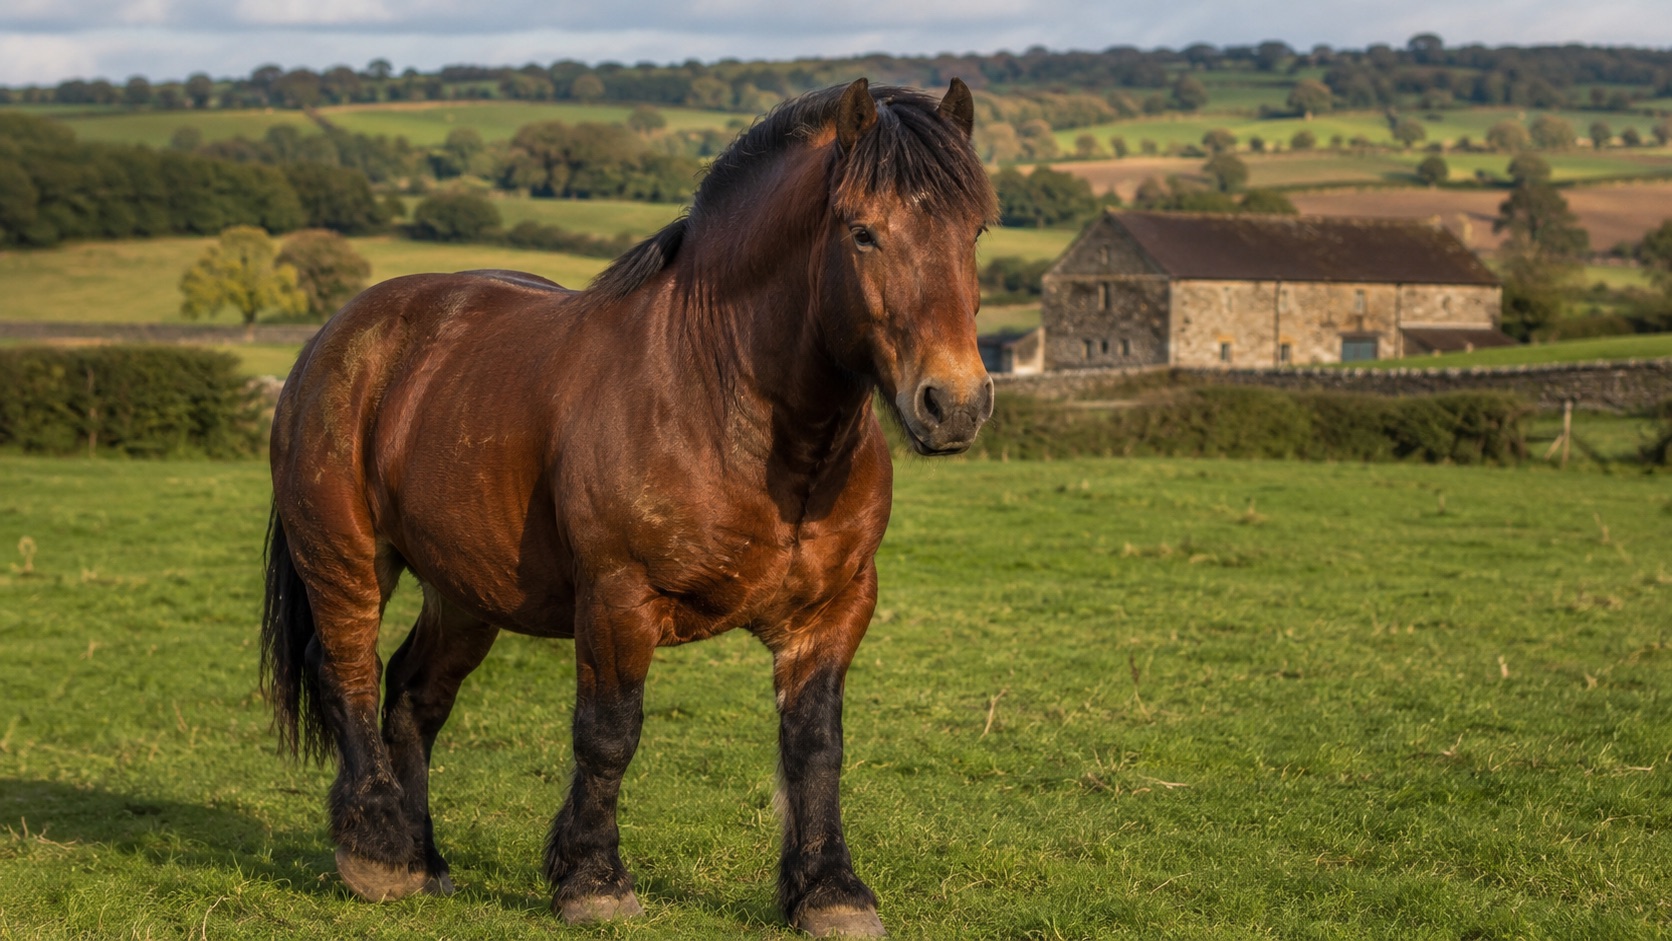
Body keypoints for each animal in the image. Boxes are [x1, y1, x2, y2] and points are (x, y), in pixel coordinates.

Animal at [261, 78, 996, 937]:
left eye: (975, 231)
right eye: (863, 232)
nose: (954, 403)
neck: (722, 399)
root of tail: (340, 333)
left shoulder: (833, 612)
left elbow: (816, 746)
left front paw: (830, 891)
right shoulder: (618, 598)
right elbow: (608, 735)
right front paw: (593, 880)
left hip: (465, 589)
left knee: (414, 693)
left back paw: (424, 859)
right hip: (347, 557)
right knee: (347, 669)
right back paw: (377, 852)